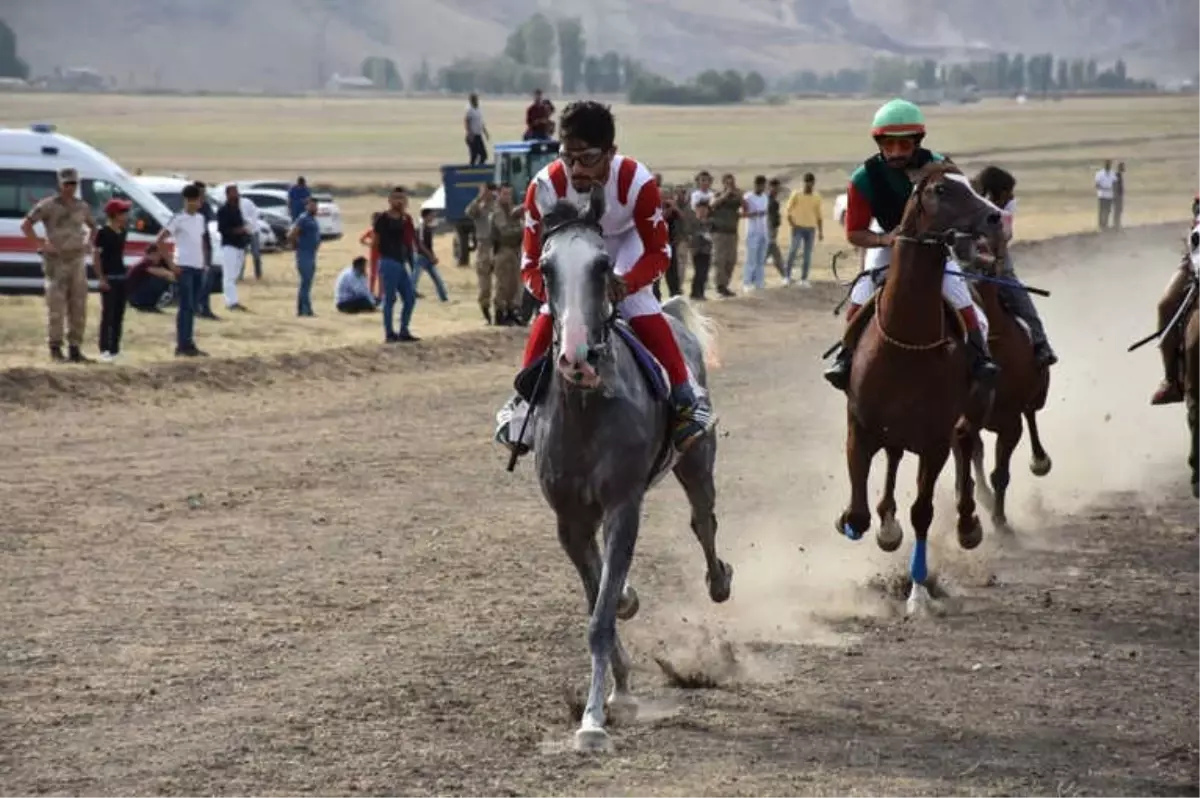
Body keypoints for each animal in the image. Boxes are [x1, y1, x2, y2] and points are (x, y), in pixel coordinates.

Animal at [523, 193, 734, 753]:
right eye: (546, 268)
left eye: (602, 265)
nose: (576, 357)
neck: (586, 410)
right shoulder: (570, 520)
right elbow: (600, 599)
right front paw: (618, 685)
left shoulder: (623, 505)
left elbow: (600, 617)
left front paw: (593, 719)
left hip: (697, 461)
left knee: (704, 521)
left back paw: (720, 580)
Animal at [840, 160, 1008, 609]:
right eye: (941, 190)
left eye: (970, 183)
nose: (995, 216)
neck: (906, 341)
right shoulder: (860, 426)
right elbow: (858, 514)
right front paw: (876, 525)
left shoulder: (934, 440)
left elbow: (923, 511)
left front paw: (918, 593)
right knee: (896, 457)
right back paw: (887, 522)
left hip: (970, 410)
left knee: (966, 446)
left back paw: (968, 523)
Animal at [969, 258, 1056, 525]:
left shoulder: (1010, 423)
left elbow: (1000, 473)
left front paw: (999, 520)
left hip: (1036, 395)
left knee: (1031, 414)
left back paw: (1040, 460)